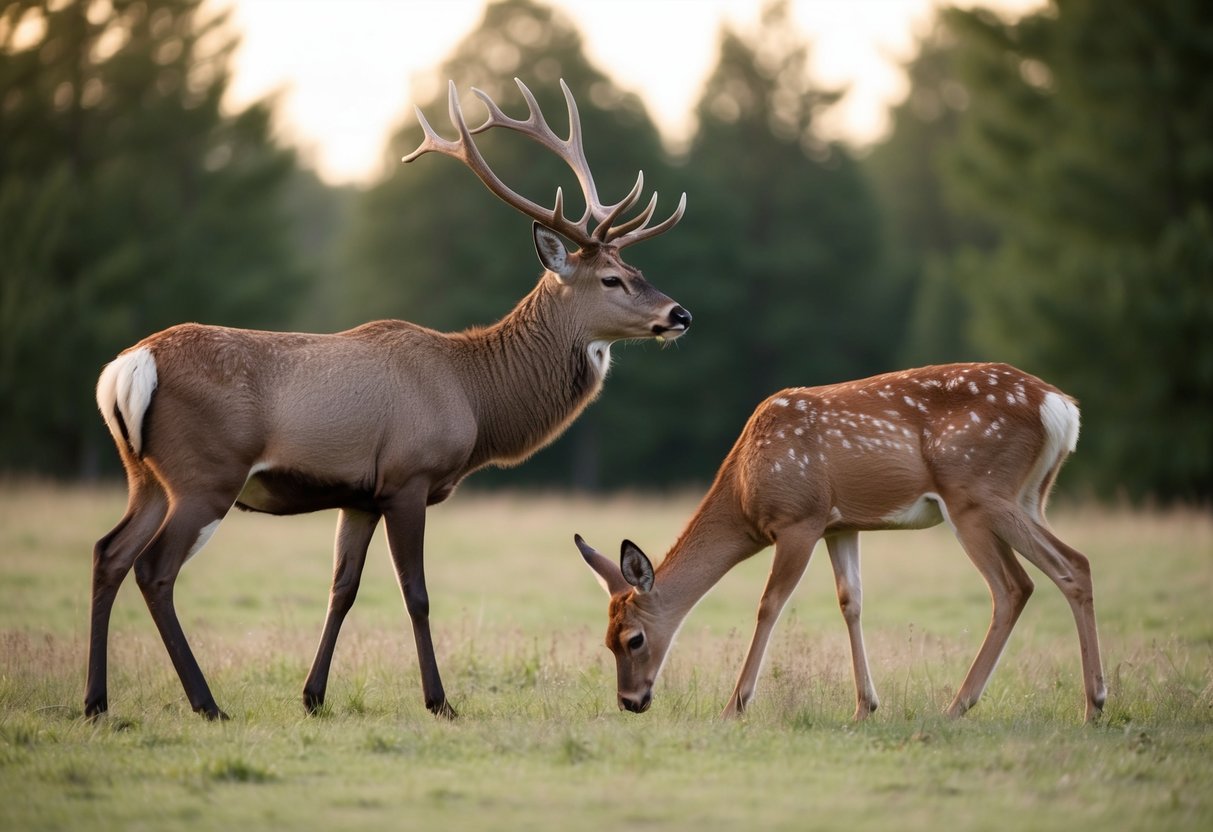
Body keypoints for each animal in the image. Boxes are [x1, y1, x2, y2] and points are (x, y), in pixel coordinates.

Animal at [88, 78, 691, 721]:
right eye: (611, 279)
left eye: (635, 266)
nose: (680, 314)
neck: (475, 397)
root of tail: (129, 366)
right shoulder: (408, 477)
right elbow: (416, 594)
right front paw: (439, 701)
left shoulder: (359, 496)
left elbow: (342, 589)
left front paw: (313, 696)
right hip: (206, 473)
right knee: (154, 569)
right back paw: (206, 704)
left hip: (146, 475)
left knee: (109, 553)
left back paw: (97, 703)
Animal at [576, 363, 1107, 723]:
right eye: (605, 641)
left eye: (633, 638)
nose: (630, 702)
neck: (745, 492)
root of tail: (1061, 408)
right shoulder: (840, 525)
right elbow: (850, 601)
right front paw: (865, 706)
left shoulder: (801, 519)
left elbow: (769, 604)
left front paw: (735, 706)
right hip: (1030, 494)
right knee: (1072, 564)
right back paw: (1092, 702)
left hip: (976, 493)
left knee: (1022, 582)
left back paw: (968, 705)